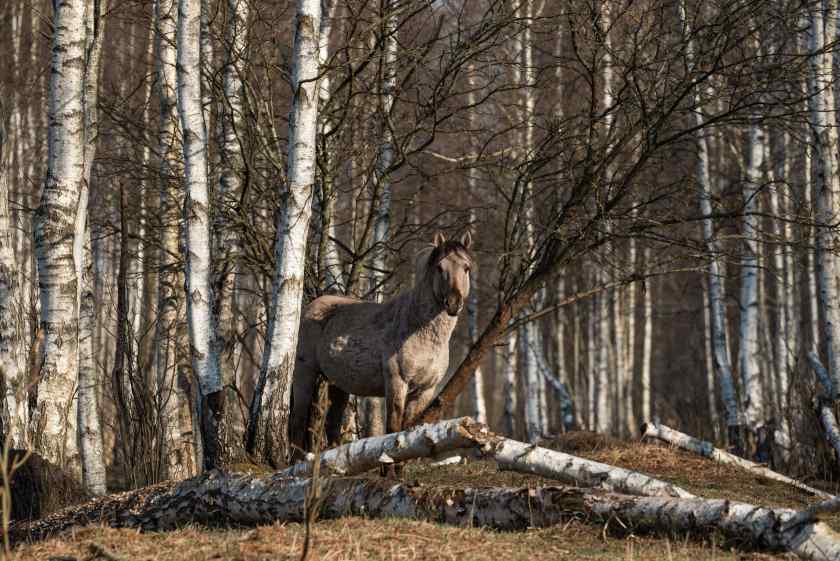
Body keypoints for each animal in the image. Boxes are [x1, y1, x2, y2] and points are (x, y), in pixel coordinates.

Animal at [288, 231, 472, 460]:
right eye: (439, 267)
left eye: (466, 268)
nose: (453, 303)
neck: (418, 329)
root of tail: (309, 308)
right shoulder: (396, 382)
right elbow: (393, 431)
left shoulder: (425, 390)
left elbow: (407, 430)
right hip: (305, 372)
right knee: (298, 420)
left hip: (338, 384)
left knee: (332, 425)